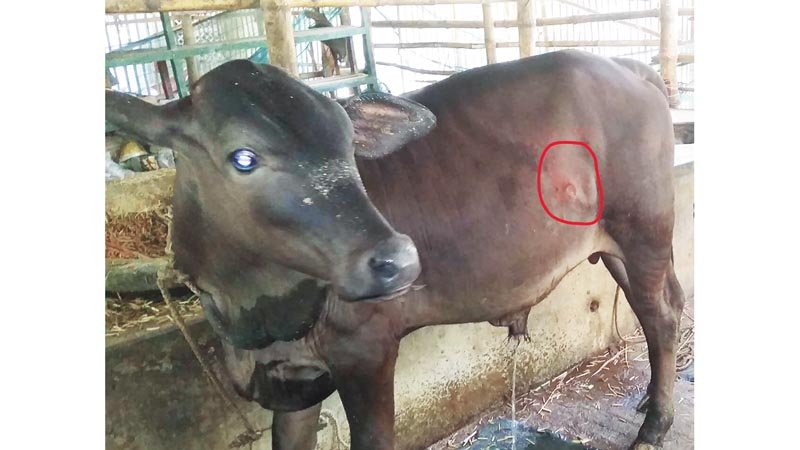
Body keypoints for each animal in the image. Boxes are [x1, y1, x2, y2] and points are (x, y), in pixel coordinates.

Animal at [105, 50, 685, 450]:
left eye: (347, 144)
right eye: (242, 157)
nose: (398, 259)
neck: (256, 316)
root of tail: (627, 65)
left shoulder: (365, 351)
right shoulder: (292, 379)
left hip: (643, 229)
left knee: (659, 317)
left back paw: (655, 427)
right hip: (623, 245)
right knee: (669, 305)